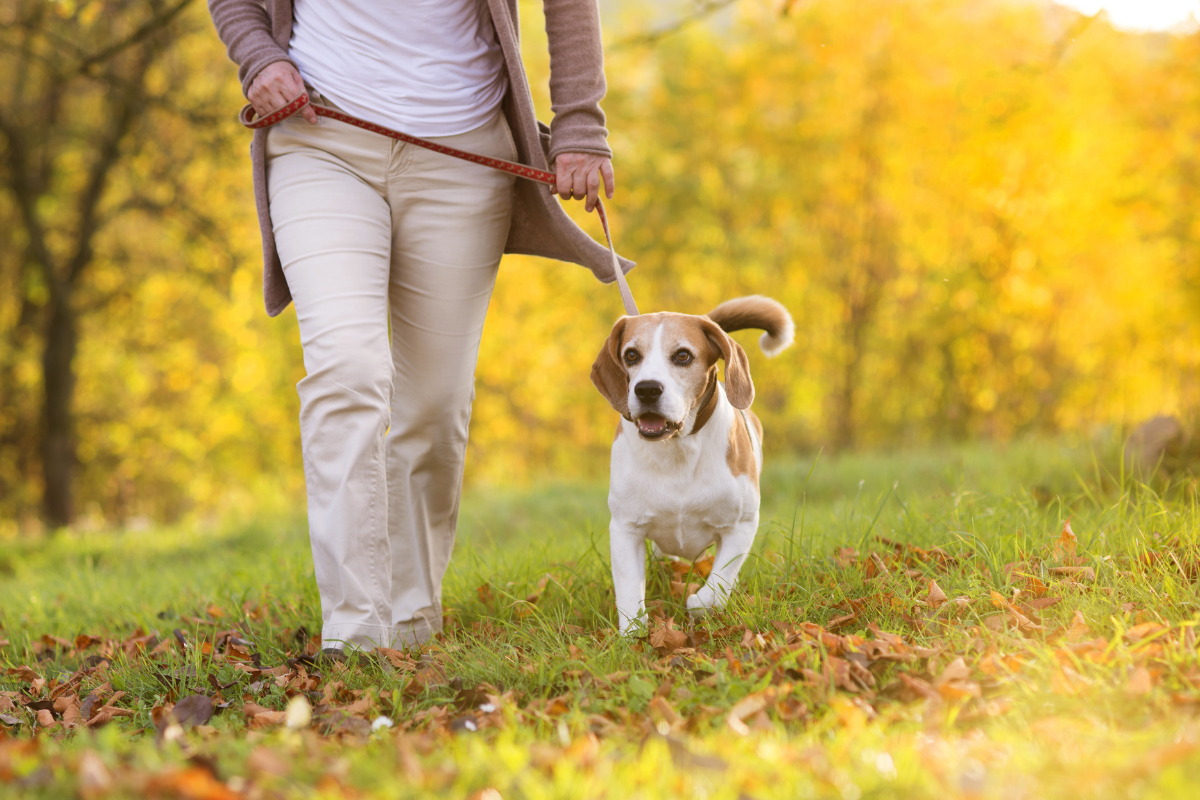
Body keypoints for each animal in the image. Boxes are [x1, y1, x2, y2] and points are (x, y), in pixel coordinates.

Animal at [592, 293, 796, 633]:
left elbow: (718, 585)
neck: (676, 449)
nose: (647, 389)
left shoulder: (741, 525)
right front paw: (633, 633)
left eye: (683, 356)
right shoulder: (625, 528)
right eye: (631, 355)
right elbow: (630, 590)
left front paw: (697, 603)